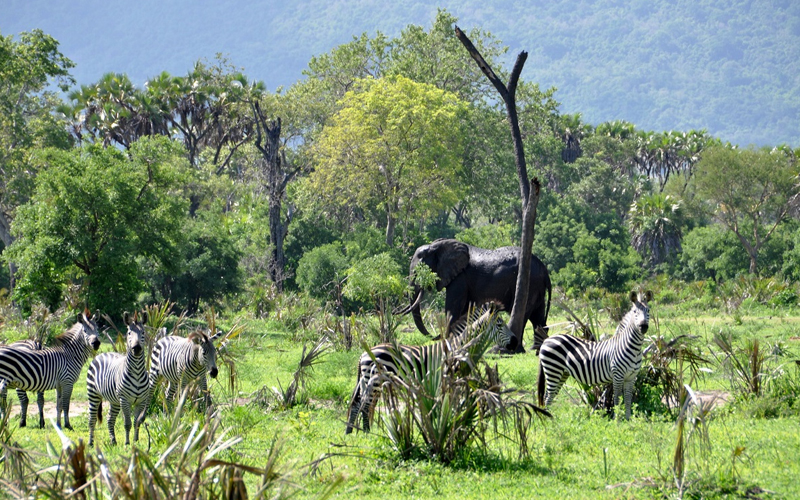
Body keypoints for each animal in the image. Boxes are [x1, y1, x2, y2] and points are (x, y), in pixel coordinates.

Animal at [86, 312, 150, 446]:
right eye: (129, 333)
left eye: (143, 332)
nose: (137, 348)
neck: (137, 372)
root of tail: (101, 354)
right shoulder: (124, 400)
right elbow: (127, 423)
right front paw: (127, 443)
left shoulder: (141, 401)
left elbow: (137, 422)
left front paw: (135, 441)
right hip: (93, 394)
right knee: (92, 419)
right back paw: (90, 442)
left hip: (114, 401)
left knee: (110, 418)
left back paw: (113, 440)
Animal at [344, 304, 512, 434]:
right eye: (500, 324)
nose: (515, 342)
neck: (455, 347)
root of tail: (364, 353)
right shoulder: (443, 375)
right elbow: (444, 401)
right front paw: (441, 424)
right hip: (375, 379)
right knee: (365, 405)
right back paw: (366, 432)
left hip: (367, 380)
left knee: (357, 403)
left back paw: (350, 431)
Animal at [404, 237, 552, 352]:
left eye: (419, 268)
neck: (436, 245)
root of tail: (544, 269)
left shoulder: (460, 278)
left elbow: (453, 309)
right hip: (537, 286)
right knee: (537, 317)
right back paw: (536, 348)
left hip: (530, 282)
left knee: (526, 314)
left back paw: (515, 350)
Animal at [536, 292, 648, 420]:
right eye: (635, 312)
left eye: (648, 310)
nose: (644, 327)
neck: (632, 348)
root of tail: (546, 340)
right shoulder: (618, 375)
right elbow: (617, 399)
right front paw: (617, 421)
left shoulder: (631, 377)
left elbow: (628, 400)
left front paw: (628, 420)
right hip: (553, 369)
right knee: (547, 396)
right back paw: (548, 420)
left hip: (562, 373)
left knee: (551, 394)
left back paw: (550, 418)